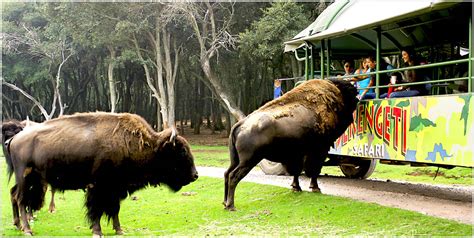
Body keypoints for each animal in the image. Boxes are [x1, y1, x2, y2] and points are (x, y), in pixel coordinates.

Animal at [6, 112, 198, 236]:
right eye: (181, 151)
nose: (195, 175)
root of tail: (14, 139)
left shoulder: (115, 188)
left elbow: (114, 209)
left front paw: (119, 230)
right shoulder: (99, 187)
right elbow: (97, 210)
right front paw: (97, 231)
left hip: (30, 179)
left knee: (13, 195)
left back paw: (18, 226)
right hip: (25, 177)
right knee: (21, 200)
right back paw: (27, 230)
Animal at [224, 78, 358, 210]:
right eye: (351, 93)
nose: (357, 100)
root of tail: (241, 124)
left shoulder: (298, 154)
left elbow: (297, 171)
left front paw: (296, 188)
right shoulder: (320, 150)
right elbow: (314, 169)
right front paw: (315, 188)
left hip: (236, 160)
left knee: (226, 173)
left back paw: (225, 203)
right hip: (249, 160)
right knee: (233, 176)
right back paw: (231, 206)